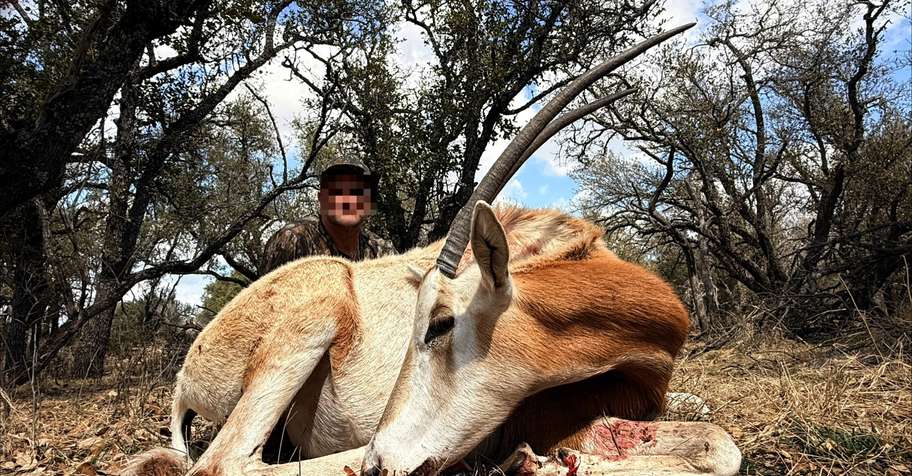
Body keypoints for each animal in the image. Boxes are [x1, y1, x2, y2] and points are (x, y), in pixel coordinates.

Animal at [122, 23, 742, 476]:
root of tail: (186, 373)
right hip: (317, 309)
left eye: (441, 324)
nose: (380, 461)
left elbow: (719, 441)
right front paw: (532, 462)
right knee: (224, 464)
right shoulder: (531, 418)